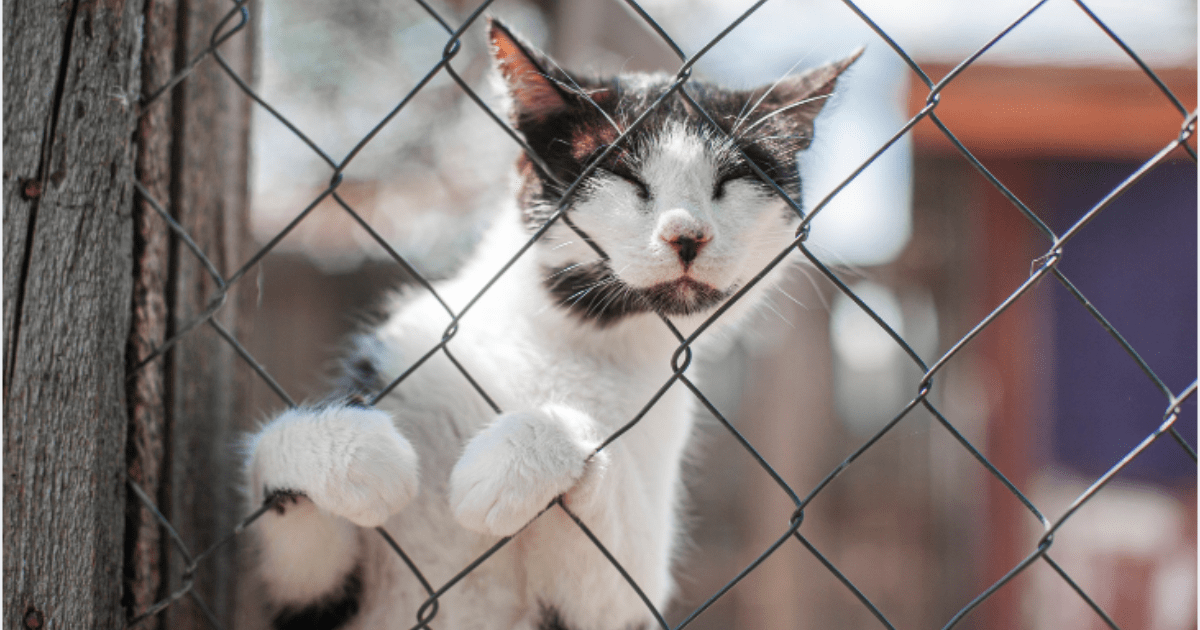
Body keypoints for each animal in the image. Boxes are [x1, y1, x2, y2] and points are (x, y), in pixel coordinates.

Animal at [243, 18, 859, 628]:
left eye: (733, 180)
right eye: (624, 175)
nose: (687, 234)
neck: (566, 338)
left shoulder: (624, 605)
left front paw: (508, 465)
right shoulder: (301, 601)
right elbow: (274, 464)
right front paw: (359, 456)